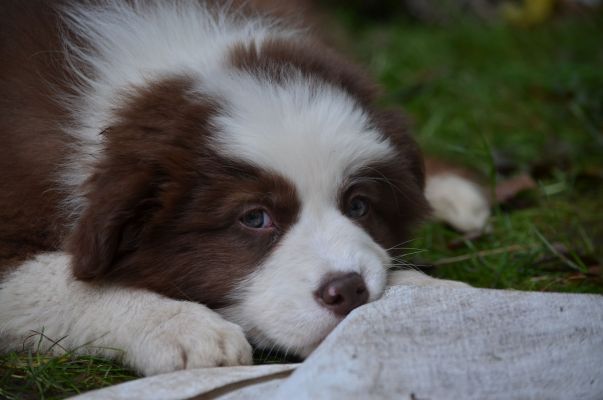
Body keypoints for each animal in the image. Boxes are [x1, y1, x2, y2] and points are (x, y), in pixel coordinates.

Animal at [0, 0, 482, 376]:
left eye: (359, 206)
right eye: (254, 218)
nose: (348, 291)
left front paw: (428, 291)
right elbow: (64, 283)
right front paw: (182, 327)